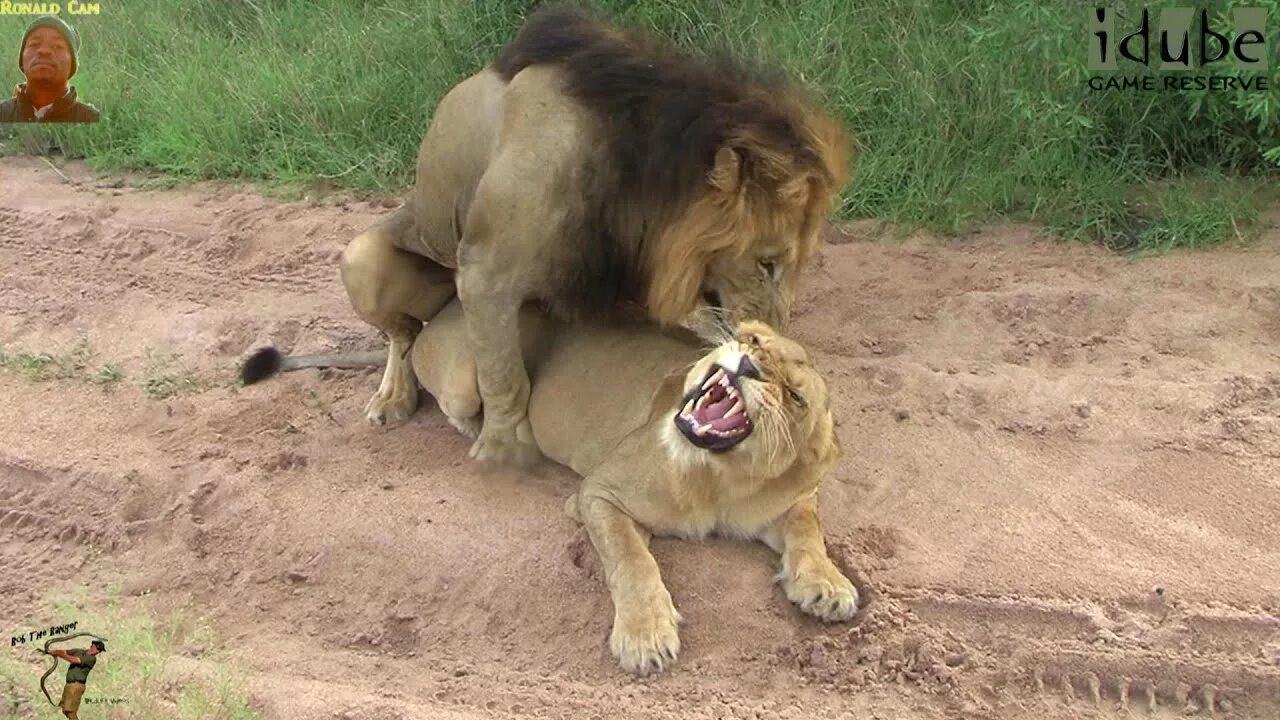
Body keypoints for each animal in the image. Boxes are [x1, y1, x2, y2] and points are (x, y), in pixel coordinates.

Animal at [337, 1, 849, 466]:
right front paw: (505, 451)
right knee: (404, 335)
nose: (774, 340)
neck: (636, 177)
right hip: (363, 255)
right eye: (767, 262)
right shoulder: (484, 270)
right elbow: (505, 377)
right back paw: (393, 397)